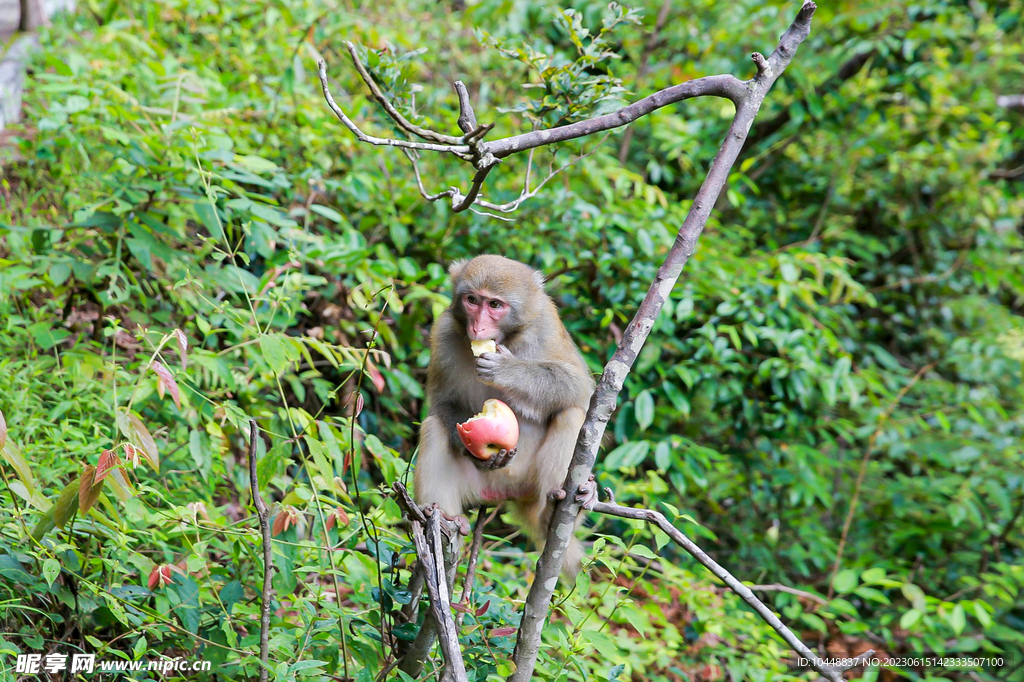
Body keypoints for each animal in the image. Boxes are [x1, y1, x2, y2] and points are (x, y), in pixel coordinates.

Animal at [411, 253, 598, 573]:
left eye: (495, 305)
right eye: (472, 300)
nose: (477, 328)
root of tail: (508, 493)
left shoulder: (546, 325)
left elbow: (579, 387)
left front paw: (508, 371)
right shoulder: (444, 329)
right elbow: (441, 402)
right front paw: (472, 450)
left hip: (531, 483)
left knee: (571, 414)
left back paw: (552, 513)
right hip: (476, 489)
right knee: (434, 426)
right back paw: (444, 516)